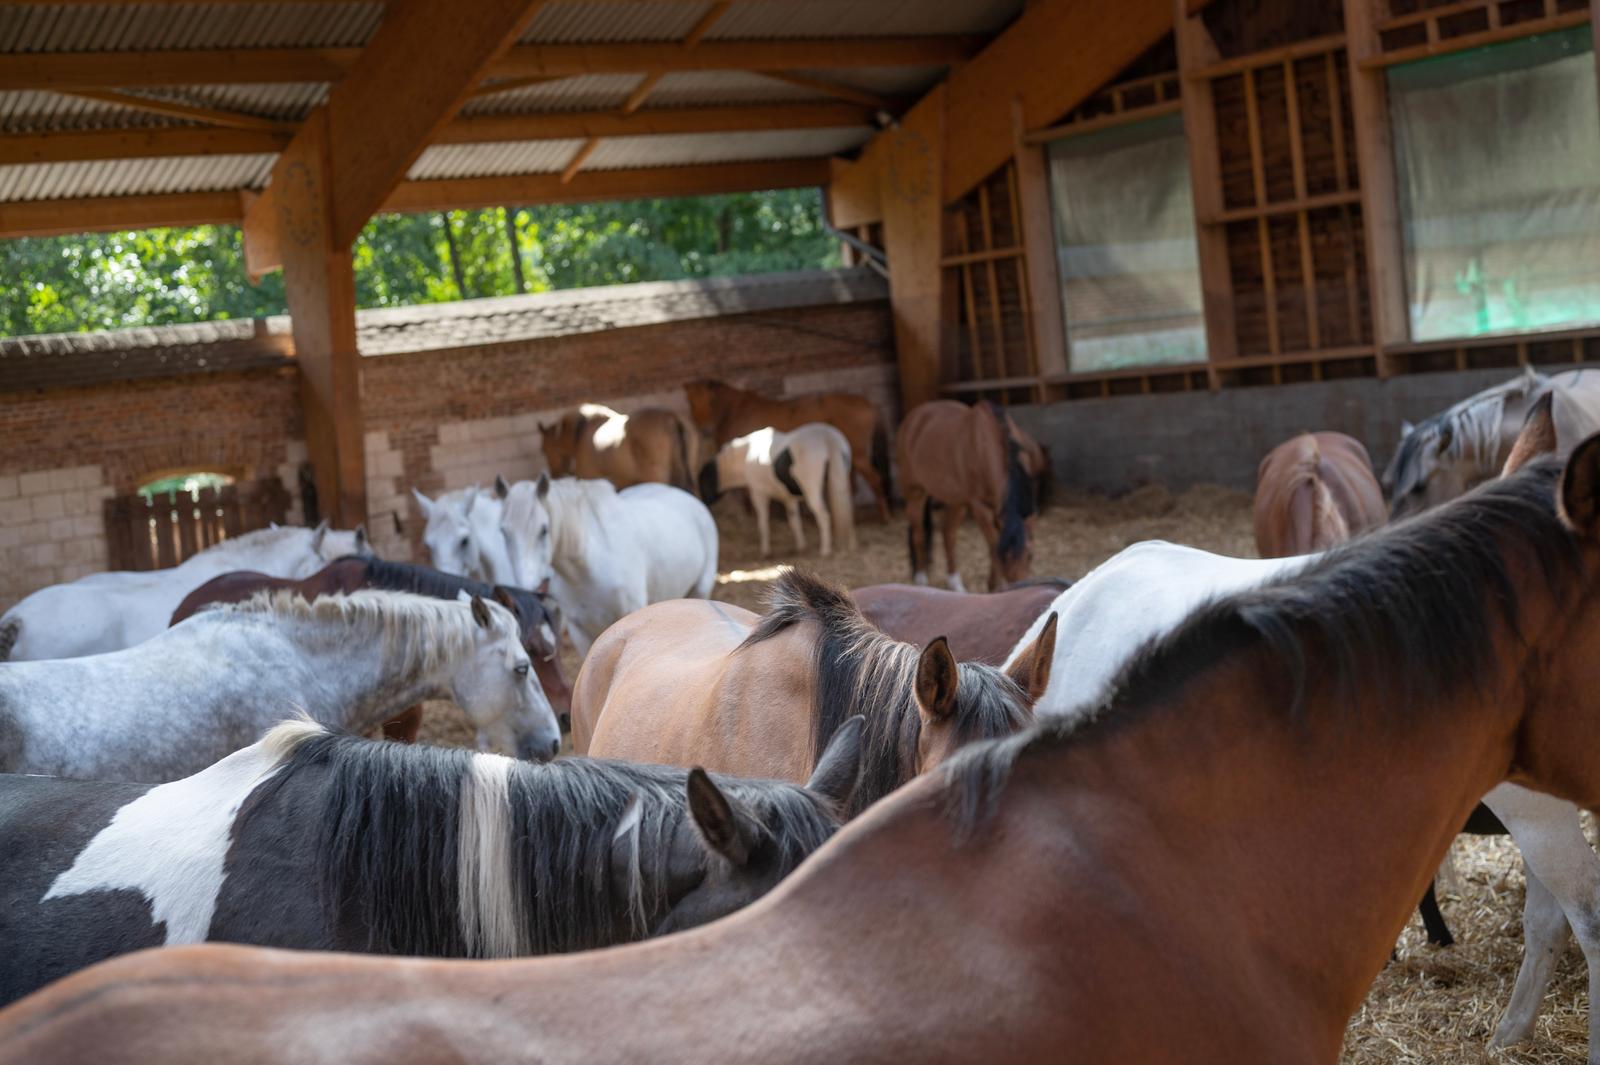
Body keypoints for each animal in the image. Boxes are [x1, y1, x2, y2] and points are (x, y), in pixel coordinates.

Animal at [497, 474, 718, 660]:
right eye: (503, 532)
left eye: (543, 530)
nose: (527, 587)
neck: (586, 569)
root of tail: (688, 498)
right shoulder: (579, 632)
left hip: (701, 588)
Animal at [683, 378, 892, 520]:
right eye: (690, 402)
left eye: (711, 401)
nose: (705, 429)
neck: (733, 412)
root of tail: (869, 403)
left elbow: (748, 492)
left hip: (859, 456)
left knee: (875, 480)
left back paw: (884, 517)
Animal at [699, 424, 856, 558]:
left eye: (703, 483)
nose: (703, 504)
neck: (745, 455)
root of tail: (828, 439)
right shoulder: (789, 499)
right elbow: (794, 522)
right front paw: (800, 547)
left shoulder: (759, 493)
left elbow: (763, 523)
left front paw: (765, 551)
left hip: (812, 490)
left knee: (824, 516)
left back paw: (825, 550)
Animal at [897, 399, 1036, 592]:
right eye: (1004, 559)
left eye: (1030, 555)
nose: (1023, 586)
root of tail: (914, 417)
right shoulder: (980, 507)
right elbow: (993, 545)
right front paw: (994, 586)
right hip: (915, 493)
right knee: (919, 535)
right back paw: (921, 578)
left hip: (956, 501)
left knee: (948, 534)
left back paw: (955, 583)